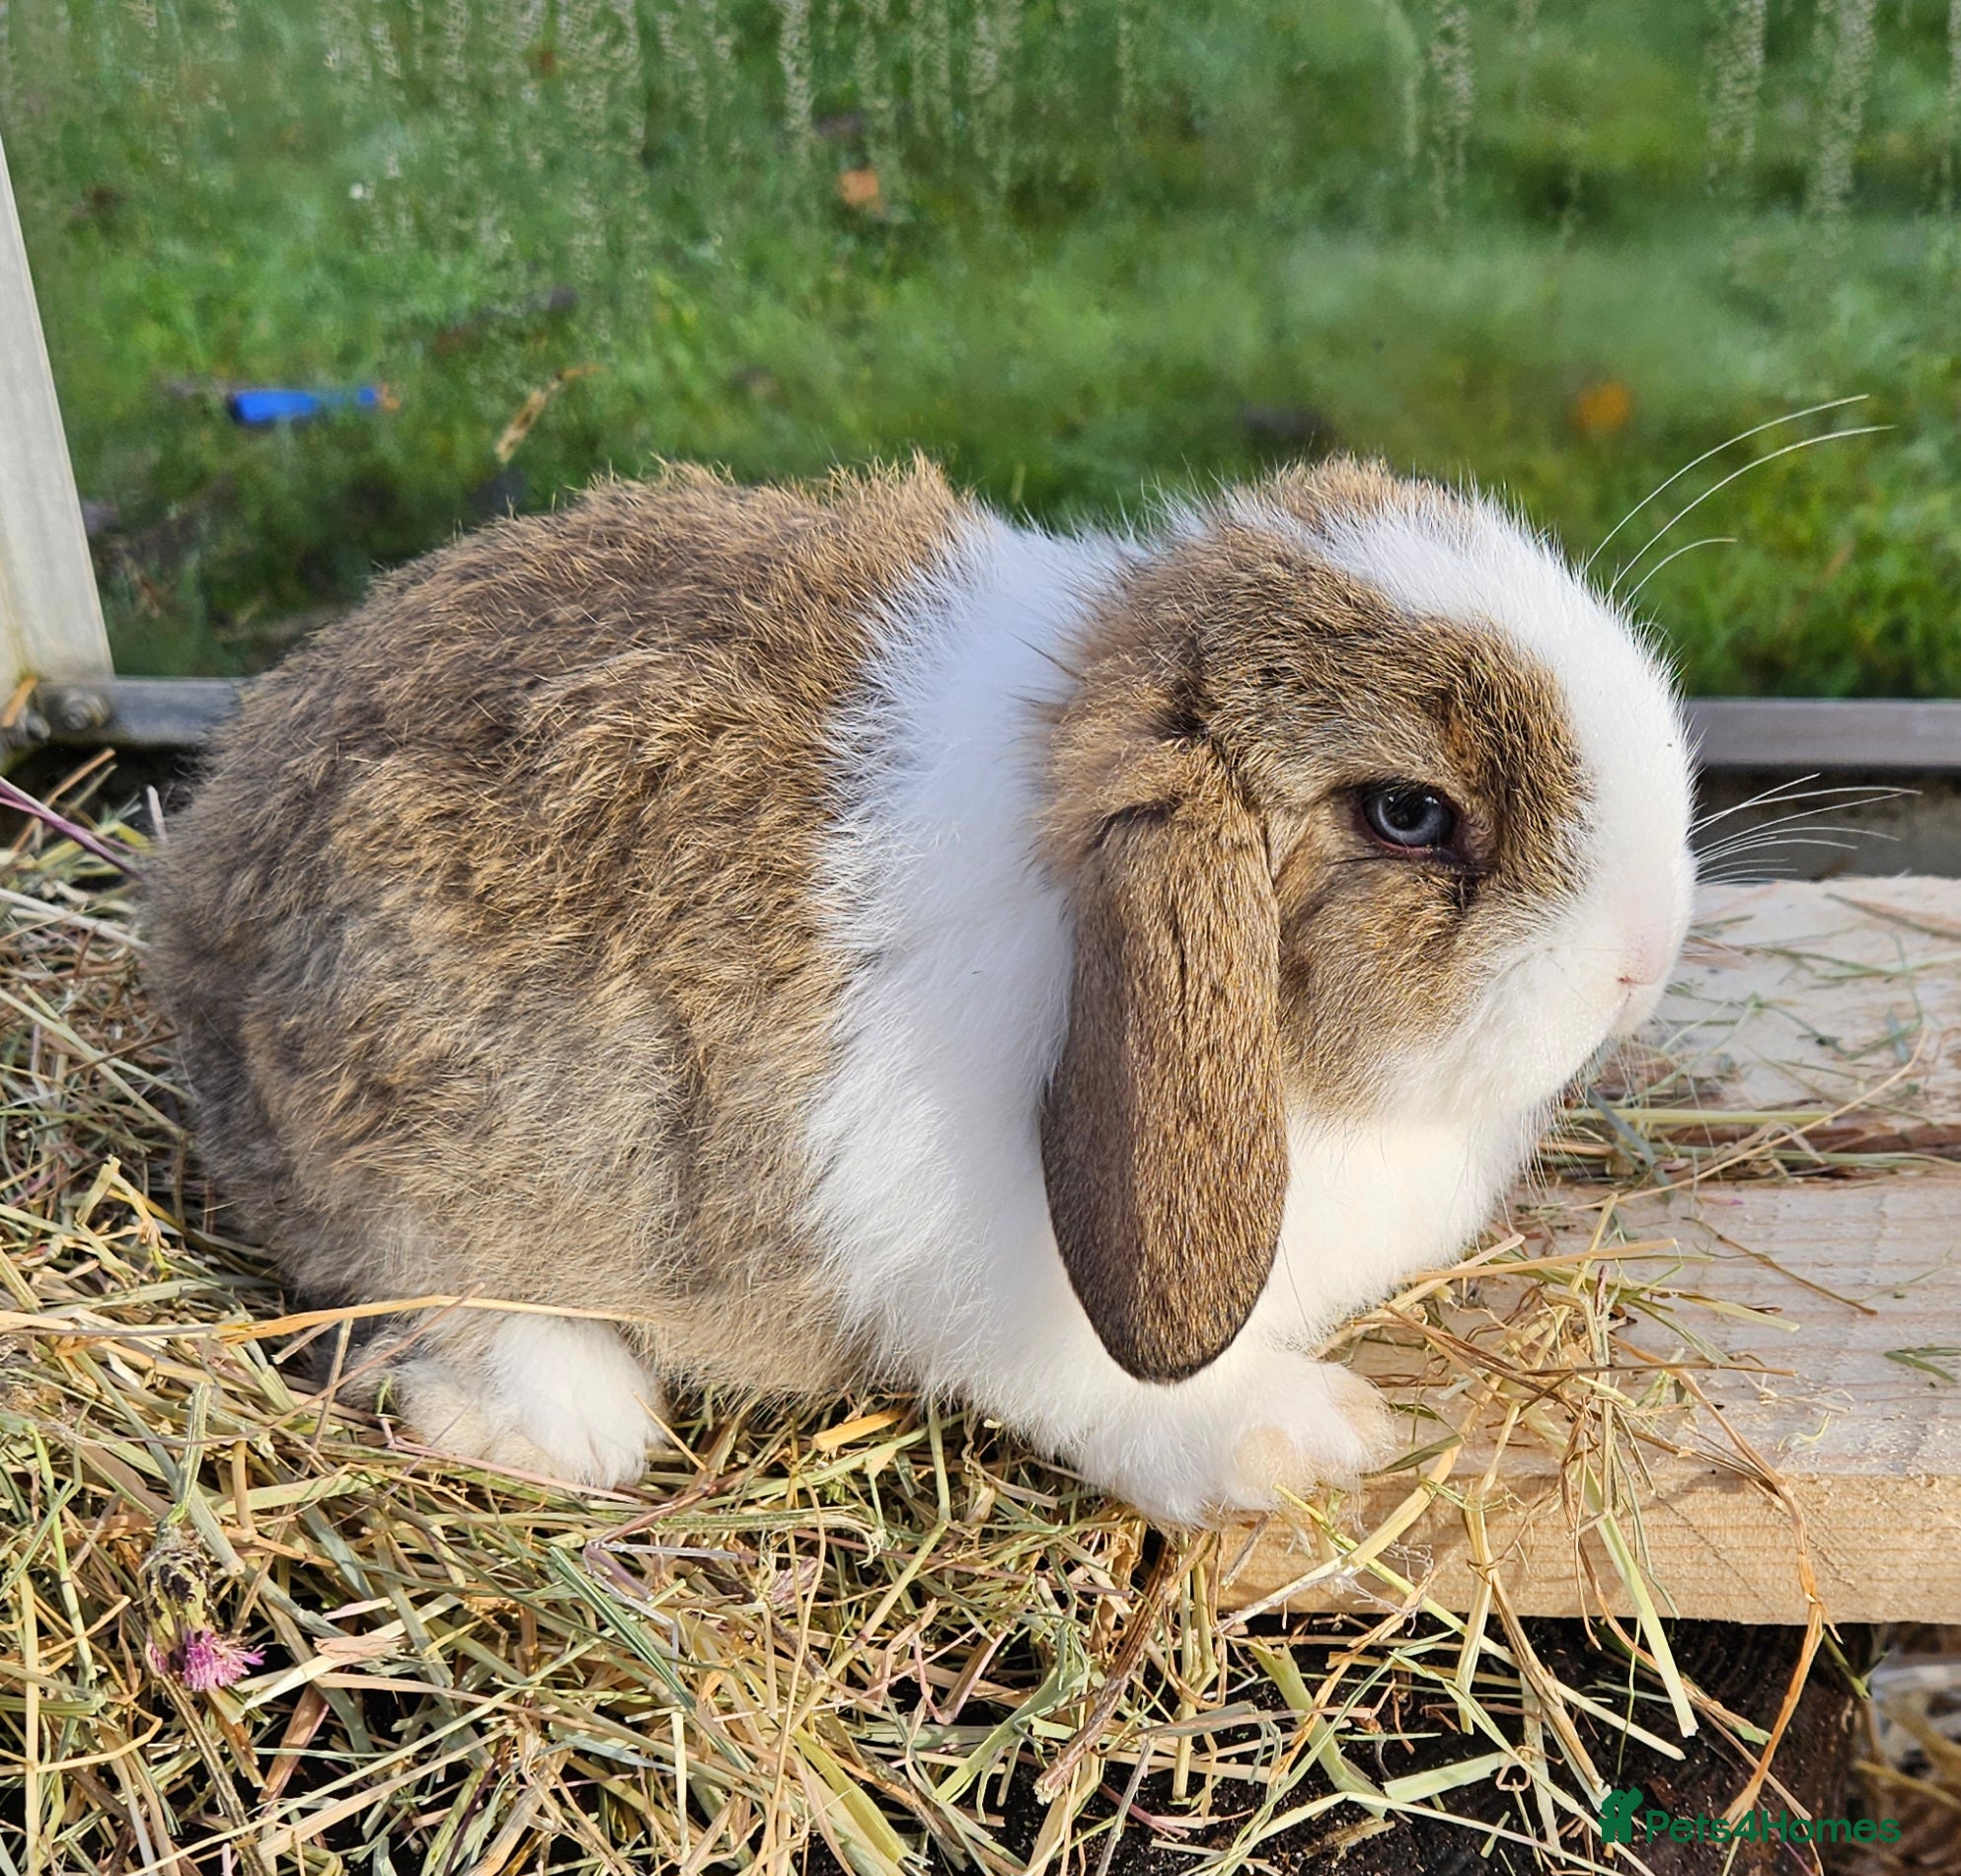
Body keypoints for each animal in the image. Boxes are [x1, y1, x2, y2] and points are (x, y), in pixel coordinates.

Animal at [146, 457, 1695, 1524]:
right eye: (1408, 815)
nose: (1648, 947)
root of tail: (198, 903)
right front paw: (1304, 1441)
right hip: (422, 1159)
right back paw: (564, 1422)